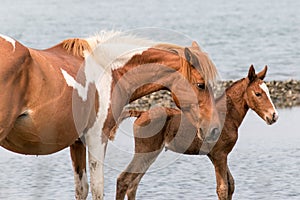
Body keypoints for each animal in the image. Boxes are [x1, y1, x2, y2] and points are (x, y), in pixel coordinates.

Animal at [0, 30, 220, 198]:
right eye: (200, 85)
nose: (215, 129)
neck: (109, 70)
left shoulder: (77, 142)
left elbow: (82, 189)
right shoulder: (98, 137)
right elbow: (98, 189)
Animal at [115, 65, 278, 200]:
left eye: (268, 93)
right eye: (258, 93)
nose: (273, 116)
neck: (226, 116)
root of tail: (141, 113)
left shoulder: (219, 154)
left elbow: (231, 184)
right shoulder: (219, 154)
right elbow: (223, 189)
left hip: (151, 153)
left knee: (133, 184)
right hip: (145, 150)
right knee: (124, 180)